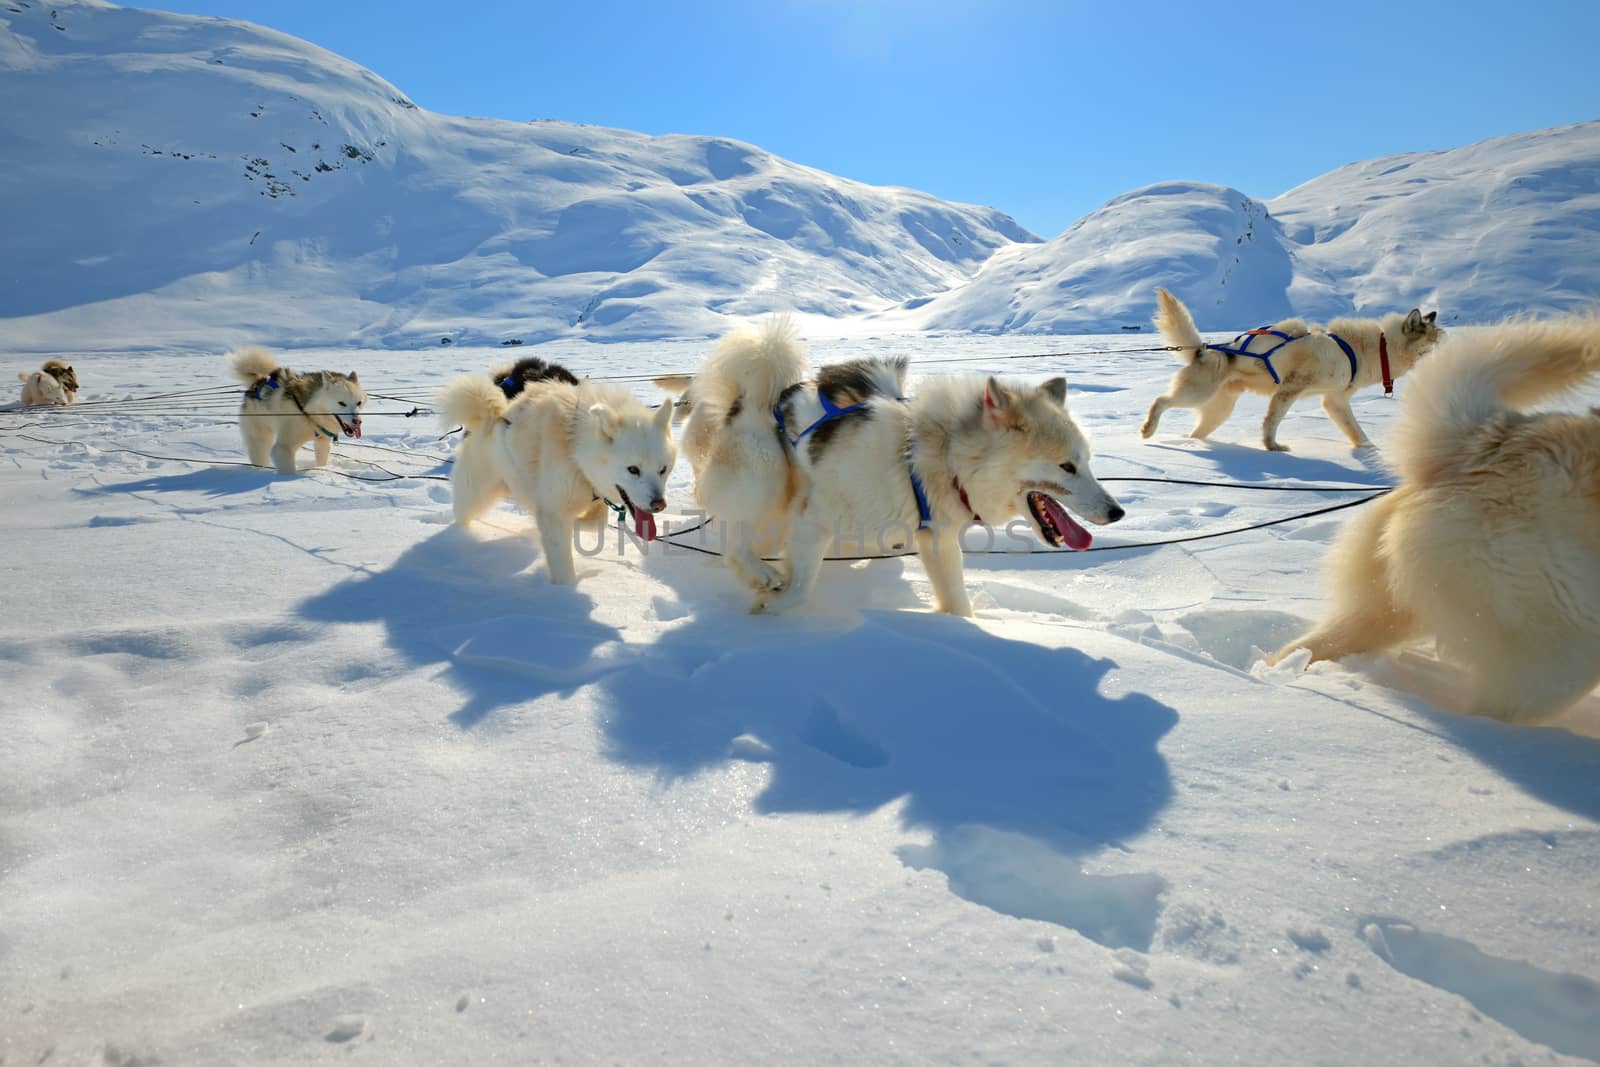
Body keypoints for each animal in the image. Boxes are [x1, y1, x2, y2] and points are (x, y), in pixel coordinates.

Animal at [228, 348, 366, 473]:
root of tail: (258, 381)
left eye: (359, 403)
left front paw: (320, 470)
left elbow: (322, 461)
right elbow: (288, 470)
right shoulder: (283, 448)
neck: (309, 413)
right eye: (342, 403)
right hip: (260, 440)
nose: (357, 421)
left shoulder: (322, 442)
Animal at [438, 364, 675, 585]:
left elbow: (595, 522)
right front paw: (565, 591)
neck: (575, 449)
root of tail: (492, 417)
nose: (659, 504)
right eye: (633, 469)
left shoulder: (592, 498)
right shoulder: (554, 510)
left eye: (663, 469)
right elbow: (562, 556)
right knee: (462, 515)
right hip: (475, 496)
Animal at [662, 319, 1126, 617]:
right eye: (1066, 466)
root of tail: (751, 396)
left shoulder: (936, 541)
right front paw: (773, 601)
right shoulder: (813, 519)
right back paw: (759, 572)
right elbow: (799, 590)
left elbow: (958, 604)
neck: (932, 456)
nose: (1117, 512)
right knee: (734, 540)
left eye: (1087, 463)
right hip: (766, 478)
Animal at [1139, 287, 1452, 451]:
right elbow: (1272, 422)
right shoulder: (1290, 388)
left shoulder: (1335, 401)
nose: (1455, 352)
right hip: (1196, 394)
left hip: (1217, 411)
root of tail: (1204, 349)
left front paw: (1371, 451)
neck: (1371, 349)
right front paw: (1273, 447)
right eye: (1436, 342)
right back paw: (1148, 429)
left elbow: (1356, 430)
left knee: (1196, 431)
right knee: (1160, 401)